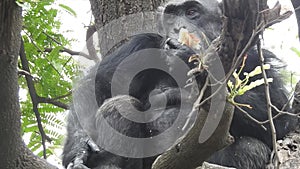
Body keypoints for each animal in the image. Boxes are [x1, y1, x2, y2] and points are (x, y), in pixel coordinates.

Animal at [62, 0, 298, 169]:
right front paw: (79, 150)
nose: (178, 28)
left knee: (252, 149)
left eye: (192, 12)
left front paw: (192, 60)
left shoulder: (261, 60)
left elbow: (280, 121)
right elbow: (97, 85)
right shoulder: (142, 43)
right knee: (120, 106)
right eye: (171, 16)